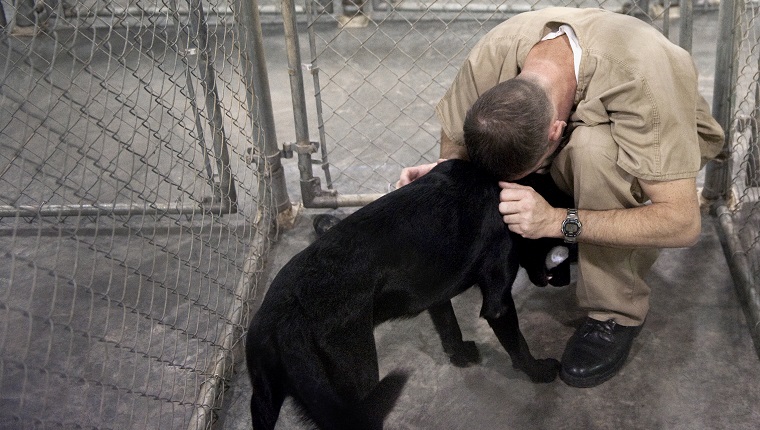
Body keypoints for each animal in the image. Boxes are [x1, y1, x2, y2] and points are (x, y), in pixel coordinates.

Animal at [246, 160, 572, 428]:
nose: (564, 281)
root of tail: (286, 316)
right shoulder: (498, 301)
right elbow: (518, 345)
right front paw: (540, 371)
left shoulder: (436, 291)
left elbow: (448, 326)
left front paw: (460, 355)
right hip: (358, 383)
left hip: (263, 399)